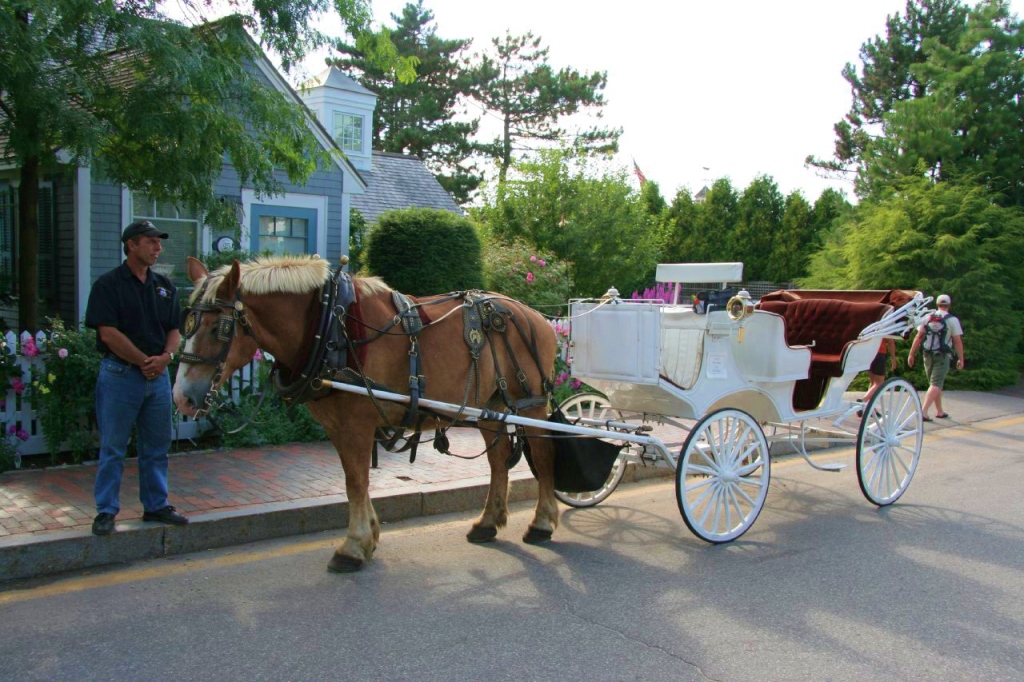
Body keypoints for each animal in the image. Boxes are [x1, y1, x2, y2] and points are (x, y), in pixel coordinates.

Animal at [176, 253, 561, 569]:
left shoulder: (357, 423)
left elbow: (356, 481)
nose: (182, 398)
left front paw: (354, 546)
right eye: (187, 324)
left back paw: (542, 522)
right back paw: (487, 523)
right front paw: (370, 536)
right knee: (498, 463)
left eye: (219, 327)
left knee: (543, 456)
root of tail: (536, 316)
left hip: (531, 404)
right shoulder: (338, 425)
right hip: (491, 406)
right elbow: (353, 480)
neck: (328, 326)